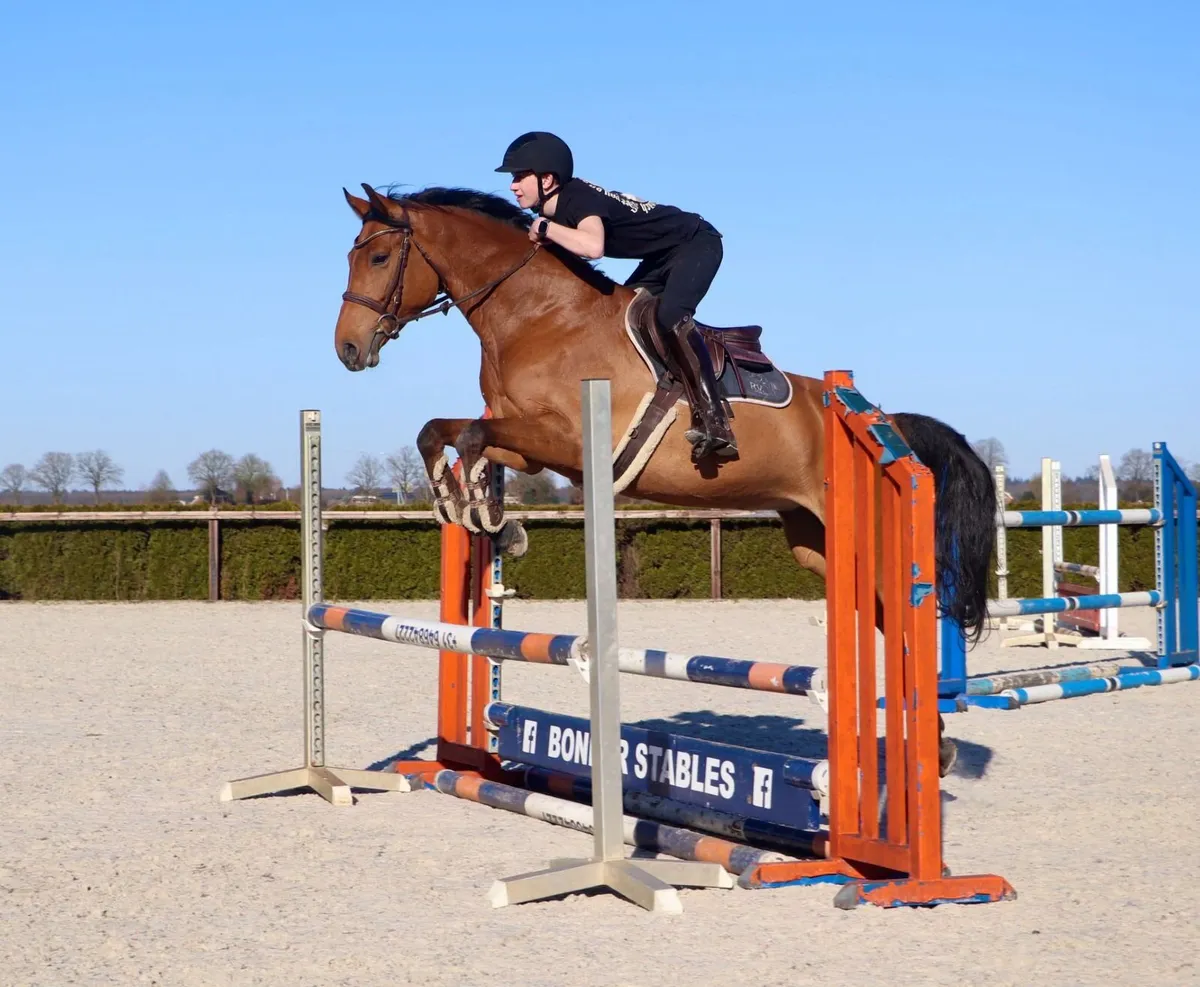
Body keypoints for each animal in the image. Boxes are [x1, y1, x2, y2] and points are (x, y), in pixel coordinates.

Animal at [333, 183, 996, 771]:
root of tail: (885, 421)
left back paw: (929, 746)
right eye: (353, 254)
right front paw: (478, 513)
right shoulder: (528, 446)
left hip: (867, 540)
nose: (347, 349)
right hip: (817, 543)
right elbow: (440, 432)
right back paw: (932, 747)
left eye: (379, 257)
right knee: (883, 619)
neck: (538, 317)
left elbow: (469, 437)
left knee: (905, 621)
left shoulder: (565, 440)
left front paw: (479, 509)